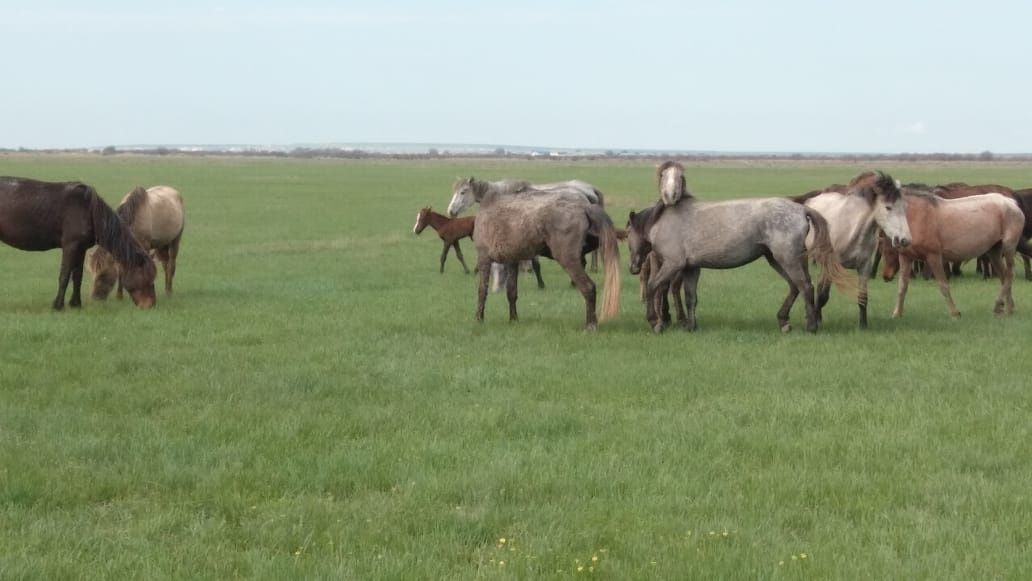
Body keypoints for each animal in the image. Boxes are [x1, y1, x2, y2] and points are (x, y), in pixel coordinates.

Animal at [0, 176, 156, 309]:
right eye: (146, 278)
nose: (150, 305)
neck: (89, 210)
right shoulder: (70, 246)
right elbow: (64, 276)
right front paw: (58, 305)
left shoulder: (81, 248)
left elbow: (77, 276)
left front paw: (75, 304)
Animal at [631, 160, 850, 334]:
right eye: (662, 175)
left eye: (680, 176)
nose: (633, 267)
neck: (665, 219)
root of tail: (802, 209)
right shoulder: (691, 268)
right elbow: (690, 297)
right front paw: (691, 326)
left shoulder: (672, 264)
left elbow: (652, 287)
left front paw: (655, 322)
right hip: (776, 259)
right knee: (795, 286)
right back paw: (784, 322)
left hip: (786, 259)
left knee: (805, 286)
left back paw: (811, 327)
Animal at [879, 190, 1023, 317]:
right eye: (882, 251)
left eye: (889, 251)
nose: (885, 276)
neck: (916, 217)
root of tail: (1012, 203)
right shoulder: (905, 257)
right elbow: (902, 287)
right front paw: (897, 313)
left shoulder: (934, 257)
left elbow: (944, 286)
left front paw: (955, 313)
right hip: (994, 252)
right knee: (1004, 277)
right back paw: (1008, 308)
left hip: (1008, 247)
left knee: (1010, 274)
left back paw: (999, 305)